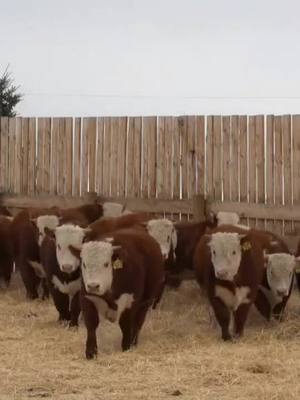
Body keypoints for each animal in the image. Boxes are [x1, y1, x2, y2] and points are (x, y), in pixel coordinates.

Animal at [79, 228, 164, 360]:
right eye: (84, 264)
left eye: (106, 264)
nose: (93, 286)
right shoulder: (87, 298)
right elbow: (91, 324)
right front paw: (91, 352)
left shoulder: (130, 300)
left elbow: (125, 323)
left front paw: (126, 347)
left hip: (145, 303)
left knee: (138, 322)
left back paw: (134, 342)